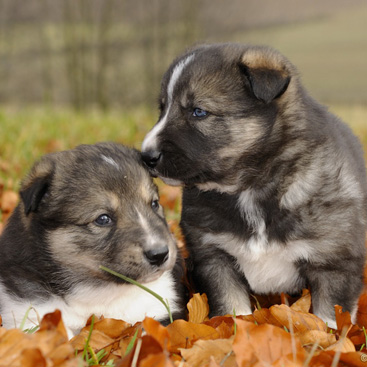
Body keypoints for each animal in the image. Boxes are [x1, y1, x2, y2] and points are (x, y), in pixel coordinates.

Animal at [0, 142, 185, 338]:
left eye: (154, 204)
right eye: (103, 219)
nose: (160, 254)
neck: (100, 290)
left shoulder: (159, 309)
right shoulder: (28, 312)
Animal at [142, 43, 367, 330]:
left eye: (198, 111)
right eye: (162, 109)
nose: (146, 156)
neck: (250, 188)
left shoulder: (334, 262)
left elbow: (329, 318)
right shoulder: (215, 256)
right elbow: (232, 309)